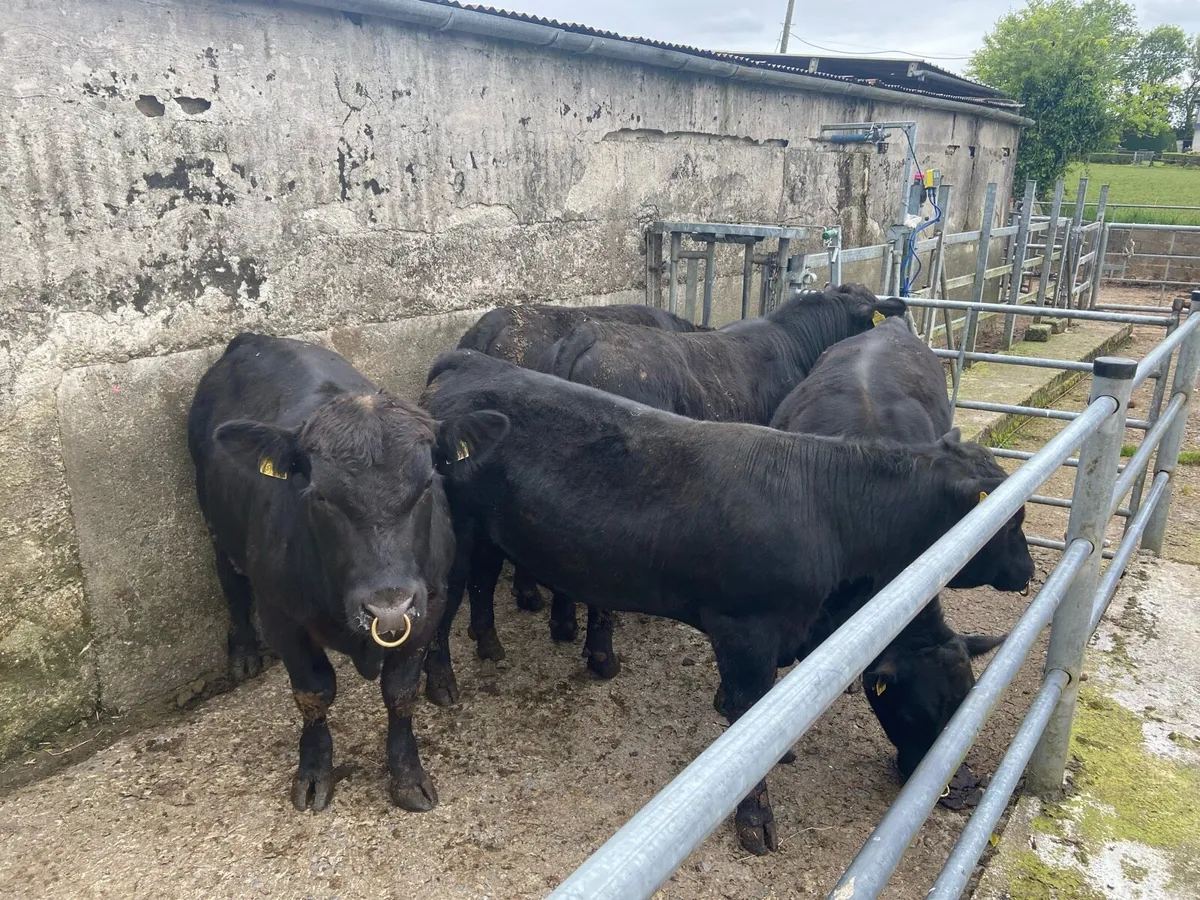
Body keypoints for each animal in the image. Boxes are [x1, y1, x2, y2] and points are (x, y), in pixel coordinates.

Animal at [187, 333, 506, 814]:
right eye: (320, 496)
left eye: (427, 483)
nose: (388, 607)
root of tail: (255, 339)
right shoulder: (282, 617)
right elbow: (314, 693)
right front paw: (314, 771)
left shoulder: (427, 604)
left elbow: (400, 693)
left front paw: (408, 777)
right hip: (214, 525)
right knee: (232, 585)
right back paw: (242, 653)